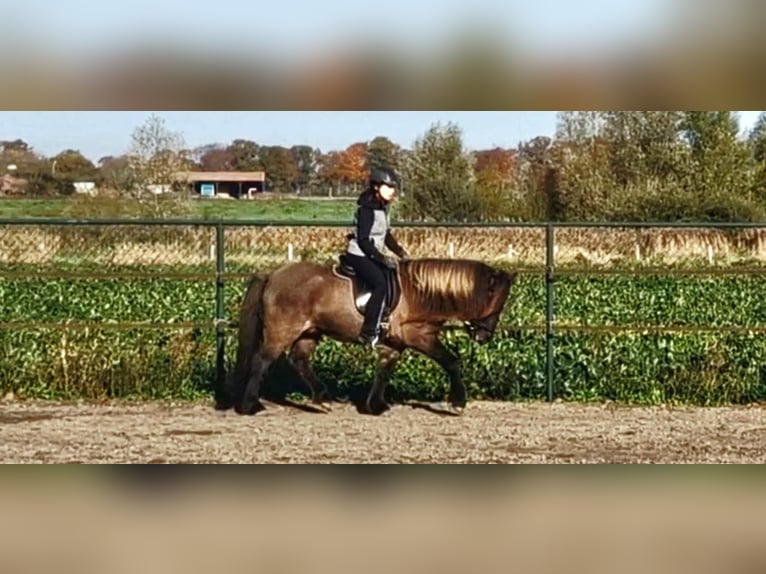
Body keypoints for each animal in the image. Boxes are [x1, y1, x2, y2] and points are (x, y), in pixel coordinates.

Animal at [219, 257, 517, 416]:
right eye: (498, 301)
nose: (484, 336)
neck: (420, 294)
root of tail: (273, 275)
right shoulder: (419, 336)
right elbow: (452, 362)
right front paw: (458, 403)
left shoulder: (394, 344)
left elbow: (383, 371)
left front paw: (376, 405)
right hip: (283, 330)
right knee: (261, 361)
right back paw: (250, 405)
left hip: (309, 331)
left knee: (299, 360)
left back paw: (322, 399)